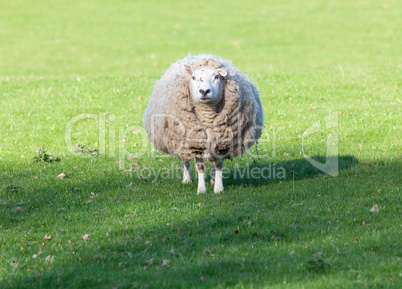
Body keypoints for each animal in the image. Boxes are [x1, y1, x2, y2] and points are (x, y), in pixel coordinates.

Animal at [144, 54, 264, 194]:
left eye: (216, 77)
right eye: (193, 77)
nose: (204, 91)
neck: (207, 116)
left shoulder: (222, 142)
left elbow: (218, 165)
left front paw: (218, 187)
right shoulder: (194, 143)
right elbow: (200, 167)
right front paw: (201, 189)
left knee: (212, 162)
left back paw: (212, 179)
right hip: (178, 140)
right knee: (184, 159)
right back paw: (187, 179)